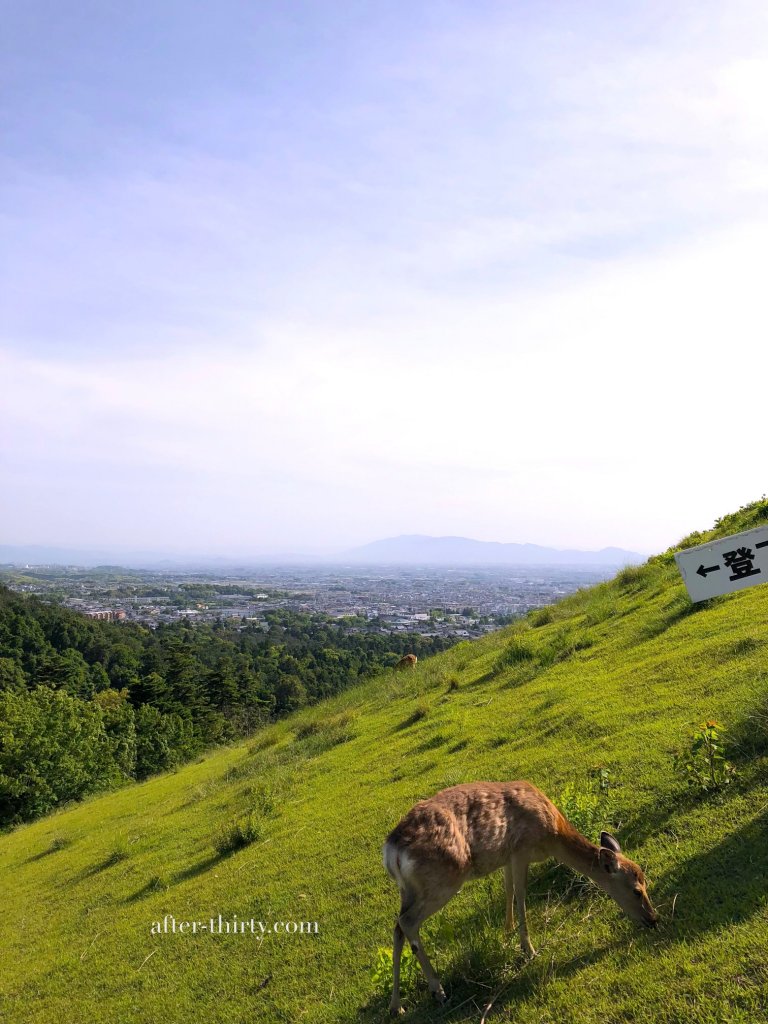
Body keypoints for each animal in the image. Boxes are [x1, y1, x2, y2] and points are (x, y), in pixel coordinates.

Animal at [382, 782, 655, 1015]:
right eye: (636, 890)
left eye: (646, 882)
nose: (653, 919)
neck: (552, 835)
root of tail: (391, 851)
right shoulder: (521, 849)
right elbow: (521, 893)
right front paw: (528, 949)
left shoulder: (507, 857)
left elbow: (508, 889)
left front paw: (507, 933)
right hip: (443, 879)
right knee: (408, 922)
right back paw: (438, 990)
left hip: (409, 889)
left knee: (397, 926)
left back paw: (396, 1005)